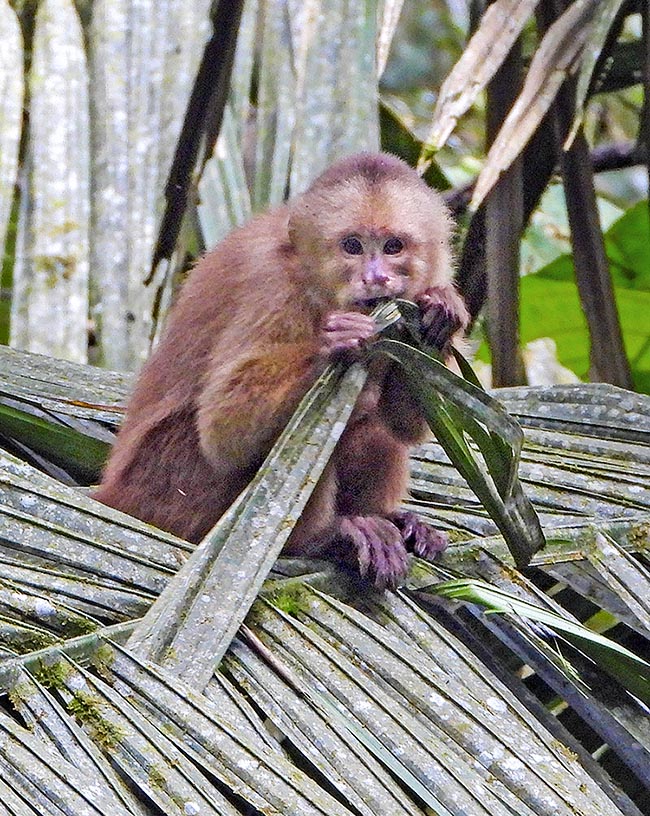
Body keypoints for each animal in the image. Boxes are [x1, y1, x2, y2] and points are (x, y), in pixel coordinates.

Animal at [92, 151, 466, 588]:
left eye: (393, 247)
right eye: (352, 246)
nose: (375, 276)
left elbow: (404, 422)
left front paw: (441, 315)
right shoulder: (274, 286)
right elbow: (224, 431)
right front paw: (336, 343)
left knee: (370, 423)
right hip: (168, 487)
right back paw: (322, 538)